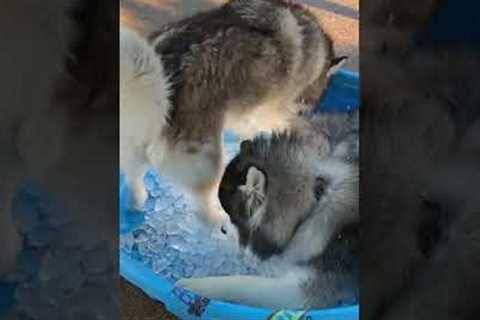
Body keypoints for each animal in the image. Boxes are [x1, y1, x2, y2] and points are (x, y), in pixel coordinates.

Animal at [119, 0, 344, 229]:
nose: (306, 110)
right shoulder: (265, 111)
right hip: (207, 161)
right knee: (203, 208)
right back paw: (219, 220)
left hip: (133, 151)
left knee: (133, 179)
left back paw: (137, 201)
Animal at [176, 111, 356, 308]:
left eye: (230, 214)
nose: (221, 230)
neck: (312, 206)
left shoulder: (301, 290)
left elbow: (241, 283)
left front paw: (191, 285)